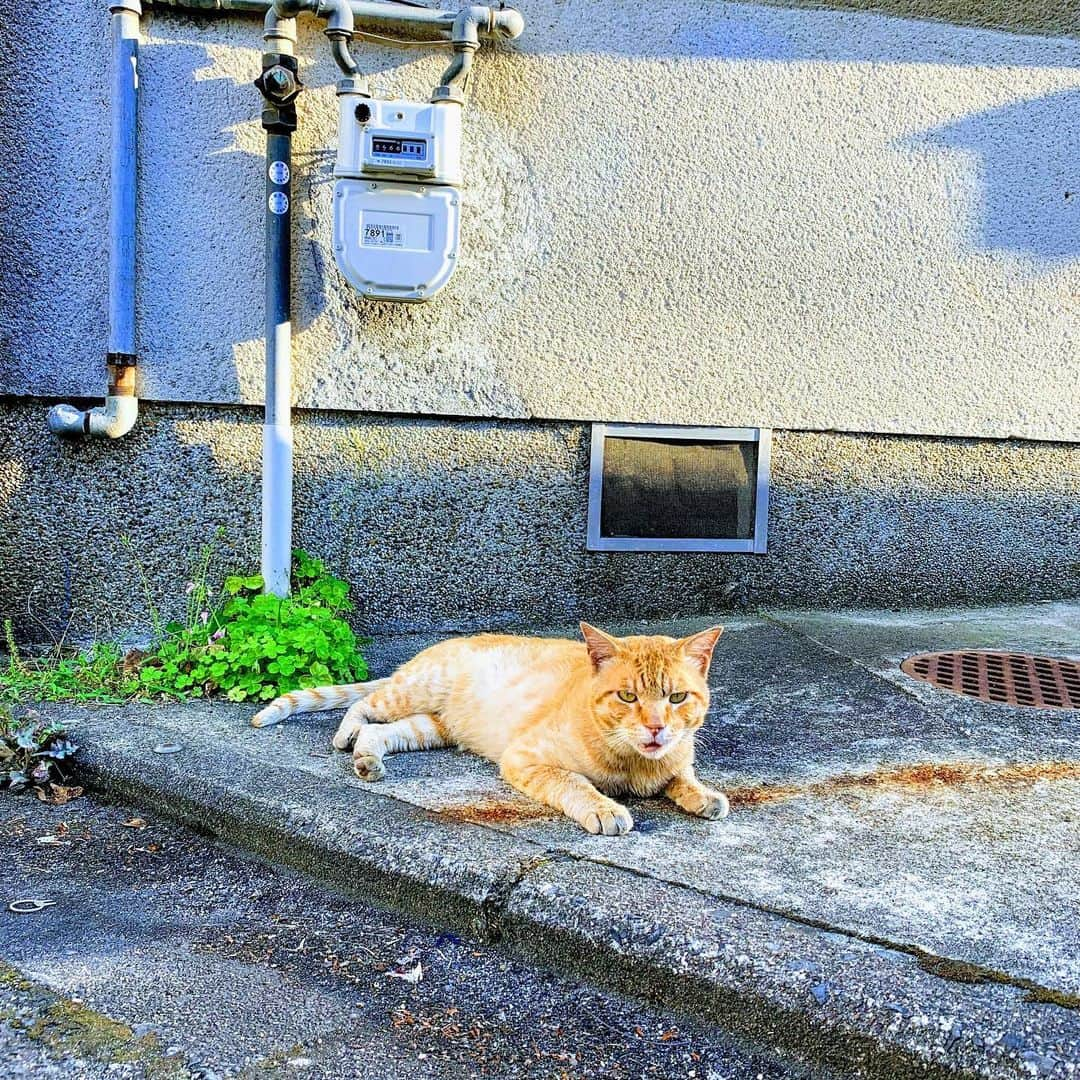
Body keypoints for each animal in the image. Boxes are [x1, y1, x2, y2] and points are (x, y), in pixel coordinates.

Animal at [250, 626, 725, 833]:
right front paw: (605, 808)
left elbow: (682, 774)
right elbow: (575, 783)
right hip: (411, 693)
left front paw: (704, 795)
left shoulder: (675, 756)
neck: (634, 765)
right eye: (627, 697)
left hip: (432, 726)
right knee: (362, 707)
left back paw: (367, 760)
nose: (656, 727)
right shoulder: (526, 758)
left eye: (677, 698)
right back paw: (345, 736)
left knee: (382, 734)